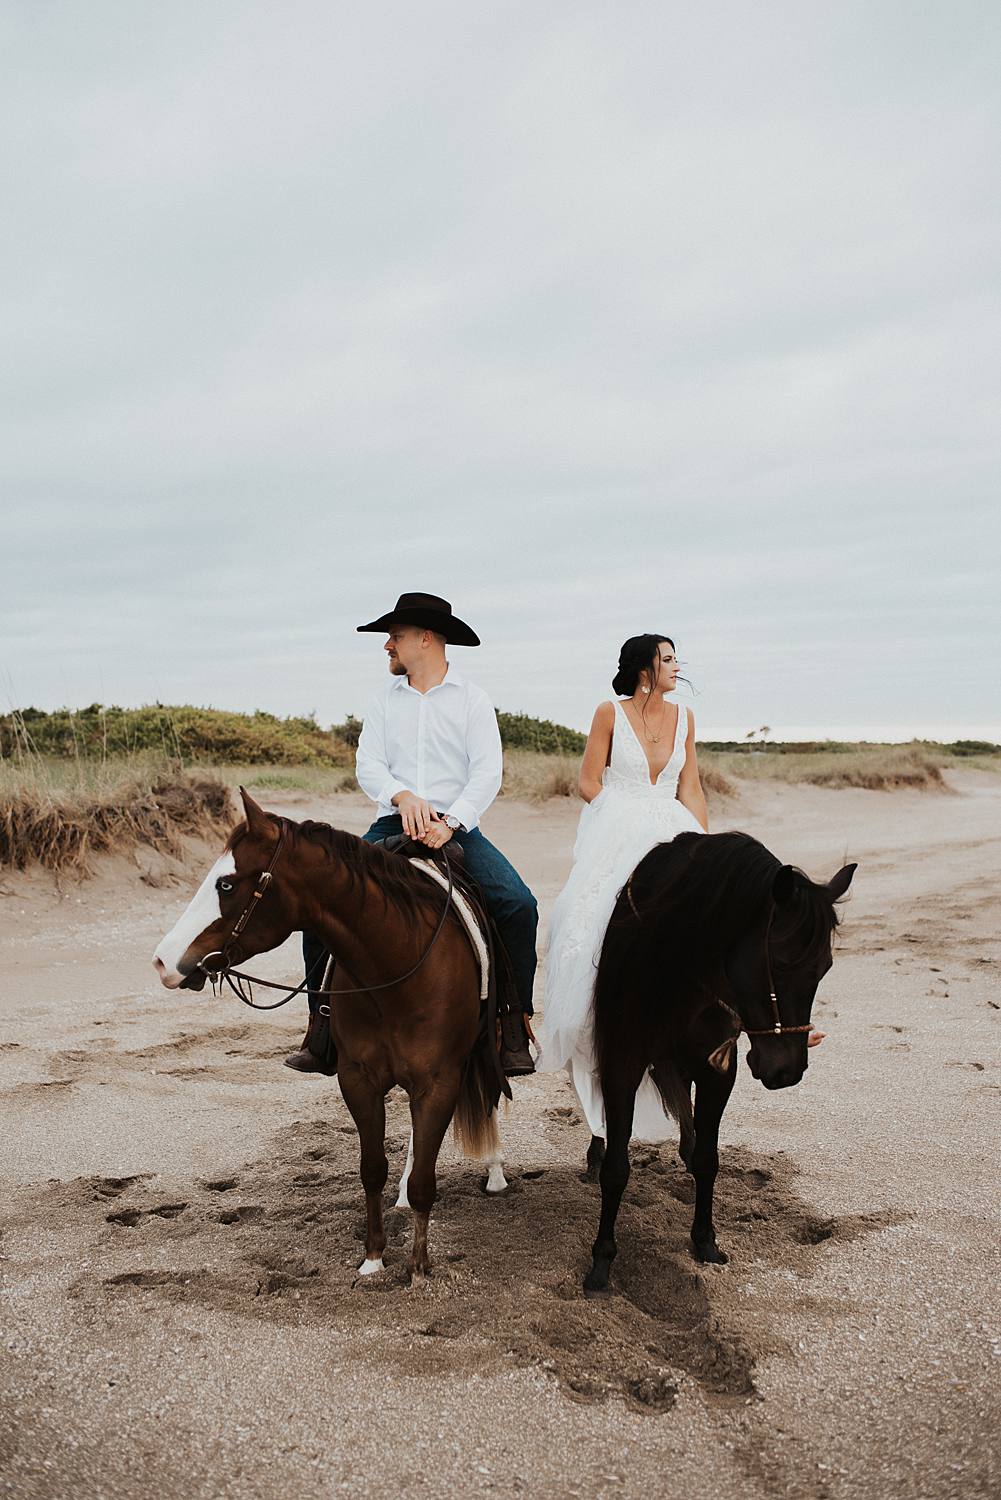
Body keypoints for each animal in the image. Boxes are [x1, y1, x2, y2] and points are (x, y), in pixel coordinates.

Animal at [155, 786, 510, 1278]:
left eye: (226, 885)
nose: (163, 961)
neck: (396, 966)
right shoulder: (358, 1079)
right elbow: (372, 1168)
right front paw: (374, 1258)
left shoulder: (438, 1082)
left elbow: (426, 1178)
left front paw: (418, 1269)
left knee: (489, 1095)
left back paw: (495, 1172)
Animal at [582, 828, 858, 1296]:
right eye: (779, 963)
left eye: (824, 967)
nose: (786, 1071)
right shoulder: (622, 1063)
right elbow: (617, 1170)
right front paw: (602, 1261)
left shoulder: (717, 1071)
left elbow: (708, 1159)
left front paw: (705, 1240)